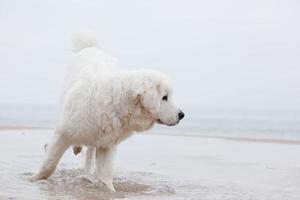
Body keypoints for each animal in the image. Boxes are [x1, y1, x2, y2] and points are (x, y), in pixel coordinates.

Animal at [30, 30, 185, 191]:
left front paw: (109, 190)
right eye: (164, 97)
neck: (116, 106)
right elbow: (49, 165)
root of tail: (91, 47)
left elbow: (105, 176)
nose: (182, 115)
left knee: (89, 155)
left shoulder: (107, 146)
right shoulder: (64, 134)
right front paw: (33, 179)